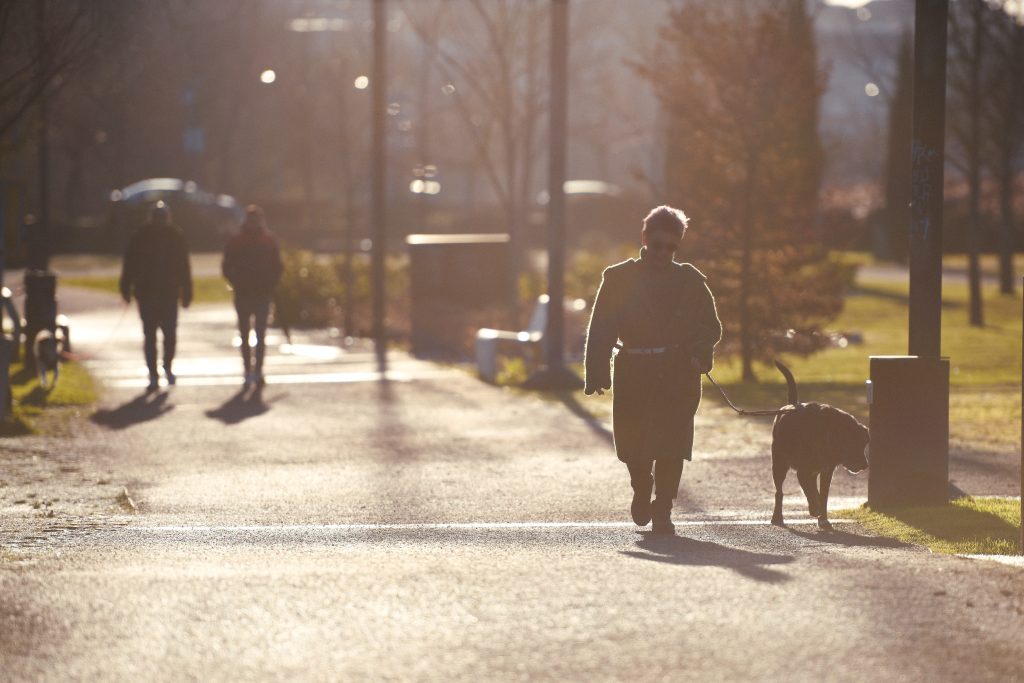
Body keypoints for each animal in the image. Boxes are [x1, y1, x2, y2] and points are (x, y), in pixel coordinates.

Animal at [770, 360, 868, 532]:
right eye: (853, 445)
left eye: (863, 445)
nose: (866, 465)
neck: (827, 434)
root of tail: (791, 404)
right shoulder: (803, 472)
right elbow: (811, 493)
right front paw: (815, 509)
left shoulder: (826, 472)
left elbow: (823, 496)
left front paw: (823, 519)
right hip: (779, 464)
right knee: (779, 492)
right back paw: (777, 517)